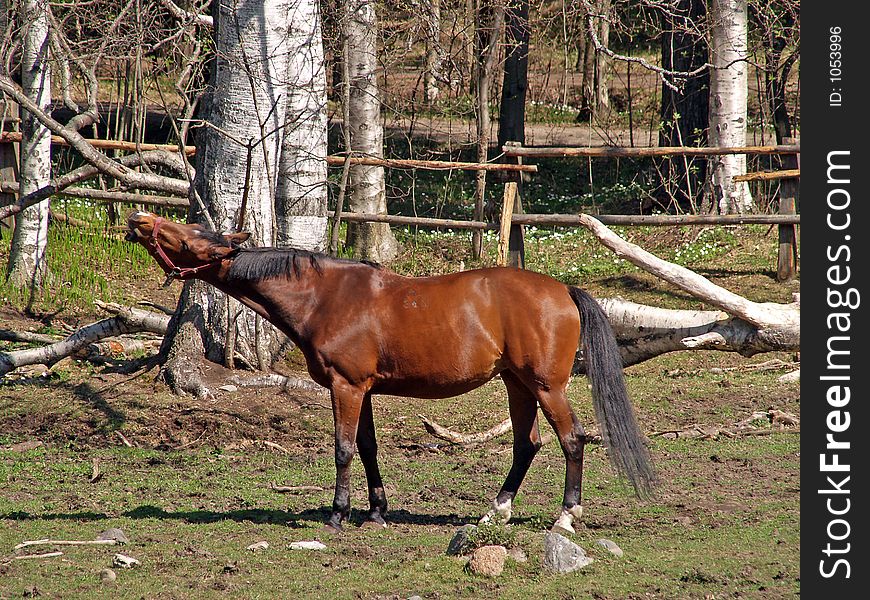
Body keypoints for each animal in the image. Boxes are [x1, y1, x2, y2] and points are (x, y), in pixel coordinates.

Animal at [127, 213, 656, 532]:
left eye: (190, 237)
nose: (140, 220)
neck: (325, 296)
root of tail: (564, 290)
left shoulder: (346, 387)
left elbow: (343, 450)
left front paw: (338, 515)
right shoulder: (362, 390)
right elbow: (366, 447)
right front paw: (376, 513)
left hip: (547, 386)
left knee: (572, 439)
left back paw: (566, 516)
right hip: (517, 384)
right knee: (527, 444)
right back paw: (497, 510)